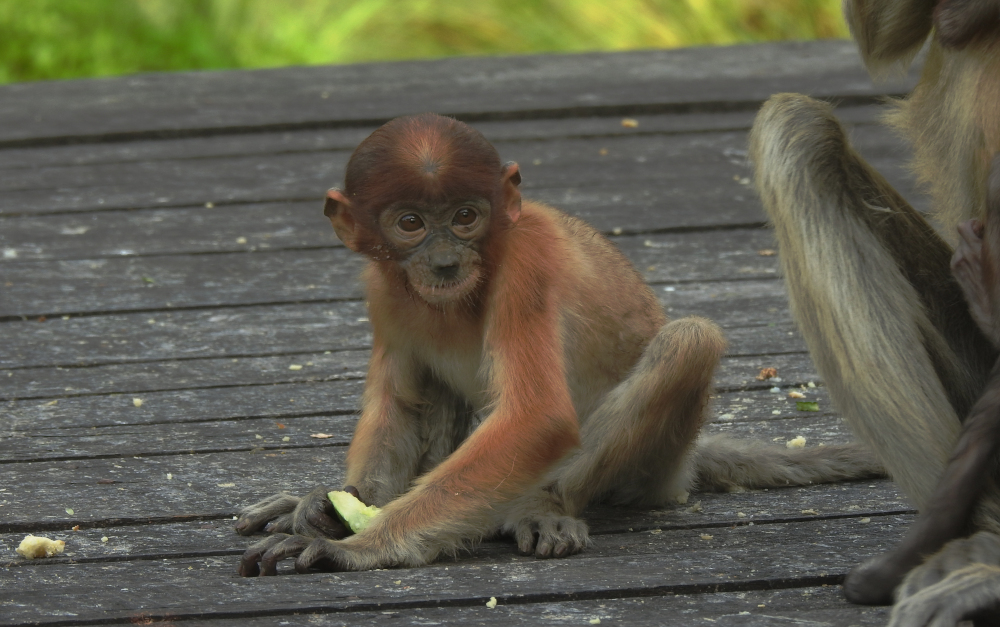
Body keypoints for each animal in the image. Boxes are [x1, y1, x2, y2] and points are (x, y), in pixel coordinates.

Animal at [238, 114, 880, 580]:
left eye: (466, 216)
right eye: (411, 223)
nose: (444, 262)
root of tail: (686, 463)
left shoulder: (527, 267)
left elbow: (539, 419)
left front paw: (358, 545)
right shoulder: (383, 288)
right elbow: (404, 404)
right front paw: (332, 509)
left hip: (657, 469)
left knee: (689, 341)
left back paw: (541, 508)